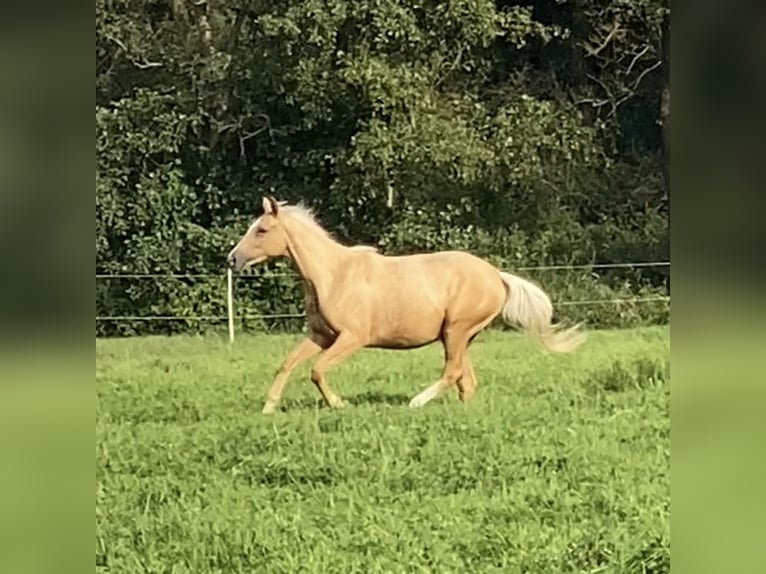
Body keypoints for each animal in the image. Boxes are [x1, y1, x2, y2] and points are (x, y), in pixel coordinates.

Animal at [228, 198, 588, 414]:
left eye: (262, 229)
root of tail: (496, 276)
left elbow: (316, 371)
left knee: (453, 372)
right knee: (466, 379)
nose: (232, 259)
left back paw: (416, 402)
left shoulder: (351, 338)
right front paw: (268, 407)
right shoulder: (321, 336)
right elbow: (287, 364)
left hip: (456, 330)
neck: (333, 275)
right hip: (461, 336)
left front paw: (339, 404)